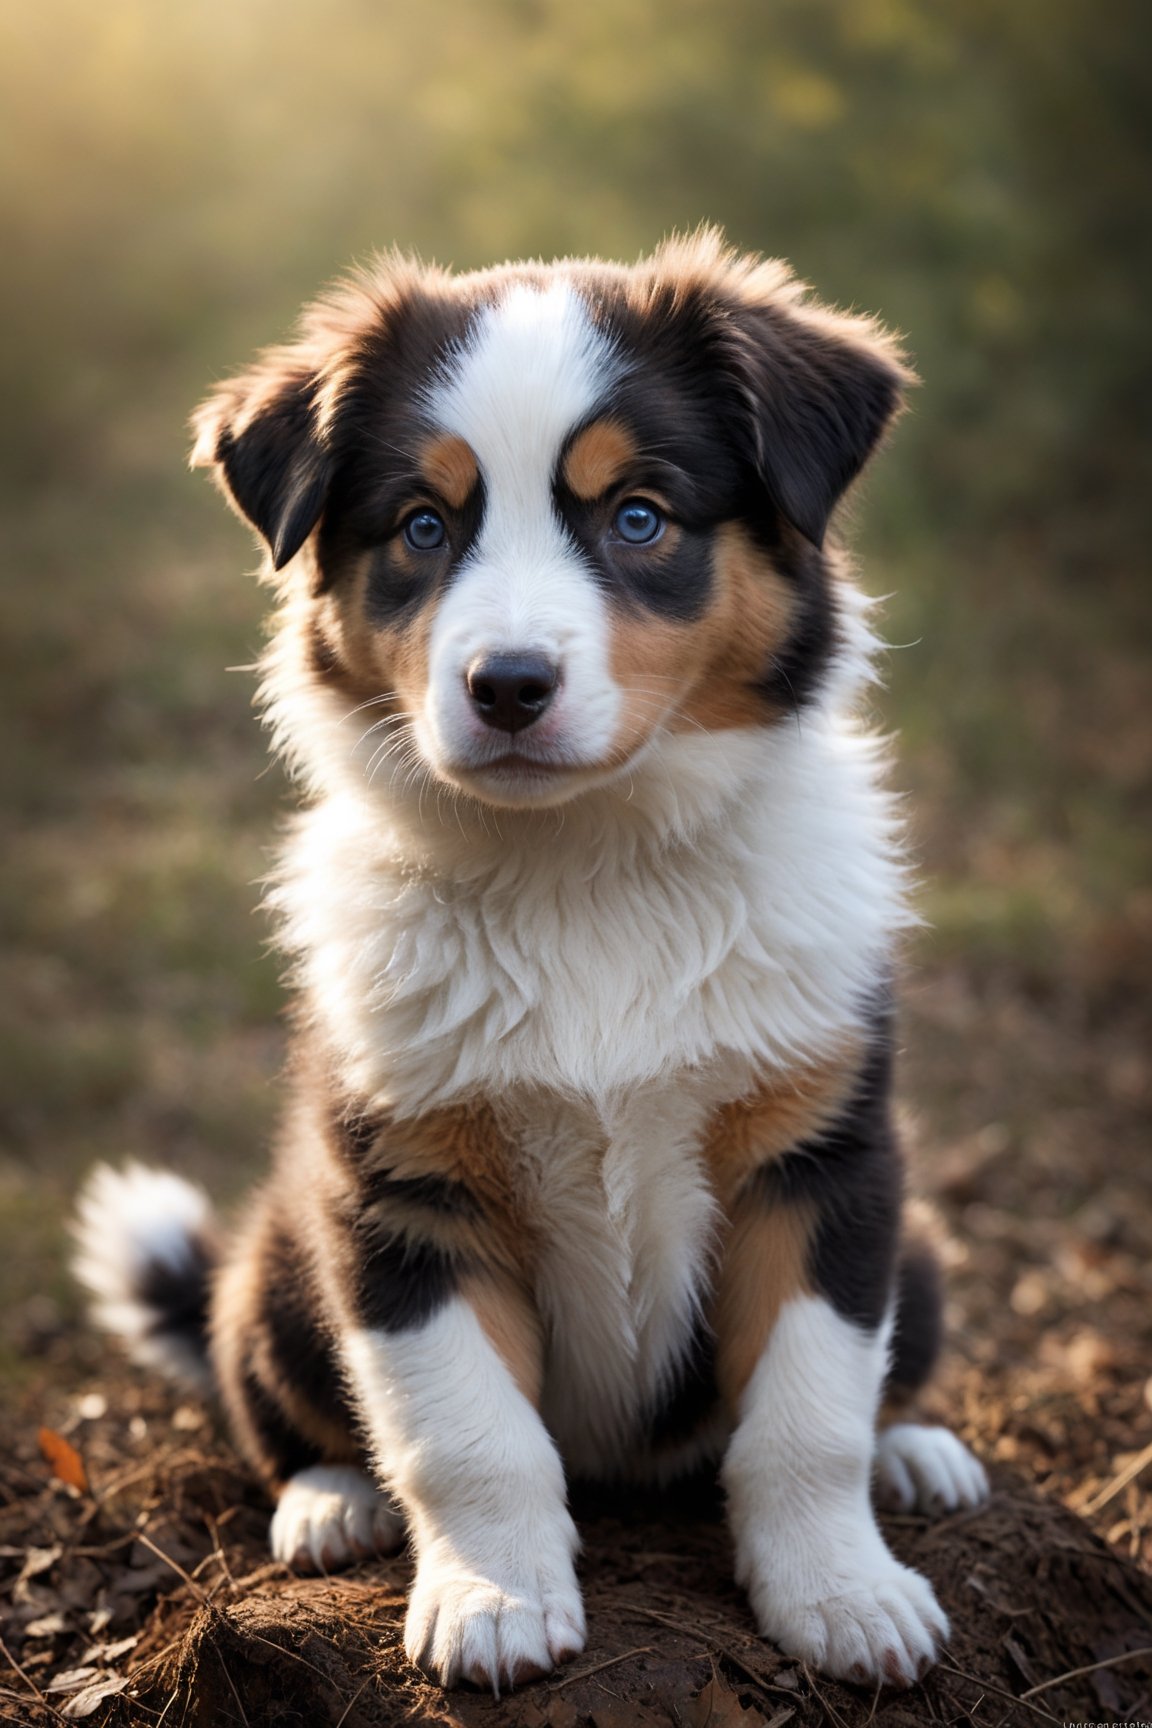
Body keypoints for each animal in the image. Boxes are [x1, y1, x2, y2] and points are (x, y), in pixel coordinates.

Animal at [72, 226, 994, 1686]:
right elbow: (466, 1433)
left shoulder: (826, 1159)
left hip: (915, 1248)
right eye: (422, 528)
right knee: (280, 1409)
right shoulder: (399, 1190)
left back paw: (922, 1457)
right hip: (276, 1261)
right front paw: (494, 1605)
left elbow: (809, 1412)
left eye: (640, 517)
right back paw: (328, 1504)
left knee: (882, 1377)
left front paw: (846, 1598)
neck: (584, 869)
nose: (506, 686)